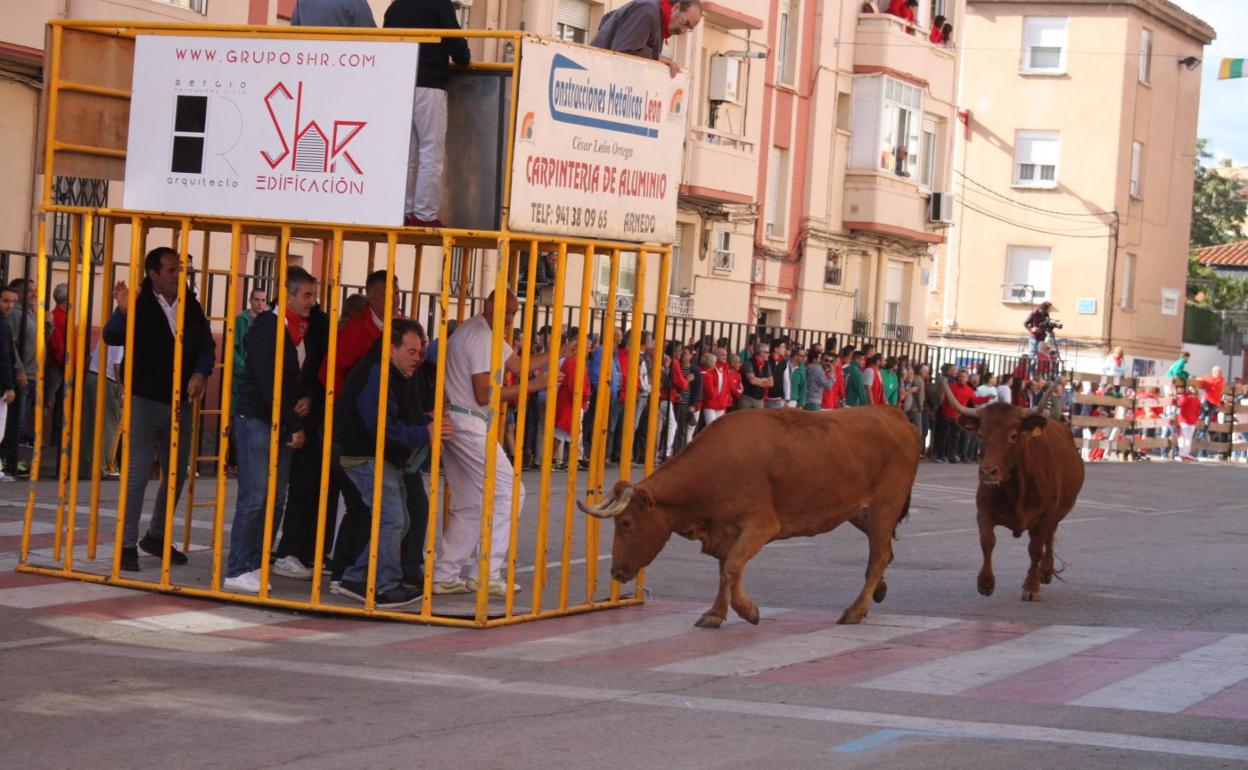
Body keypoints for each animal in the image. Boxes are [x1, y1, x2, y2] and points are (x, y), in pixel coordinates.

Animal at [574, 404, 918, 626]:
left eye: (626, 523)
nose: (617, 572)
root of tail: (895, 416)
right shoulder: (724, 531)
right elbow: (724, 571)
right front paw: (715, 613)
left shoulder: (761, 526)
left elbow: (732, 567)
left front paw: (747, 610)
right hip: (859, 512)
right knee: (885, 552)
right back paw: (878, 591)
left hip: (884, 506)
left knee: (877, 556)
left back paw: (856, 610)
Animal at [943, 379, 1083, 601]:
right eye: (981, 435)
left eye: (1013, 435)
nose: (988, 472)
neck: (1017, 488)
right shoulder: (983, 509)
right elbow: (987, 541)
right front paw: (986, 582)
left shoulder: (1046, 514)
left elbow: (1035, 549)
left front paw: (1032, 587)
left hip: (1057, 514)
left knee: (1049, 538)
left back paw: (1045, 571)